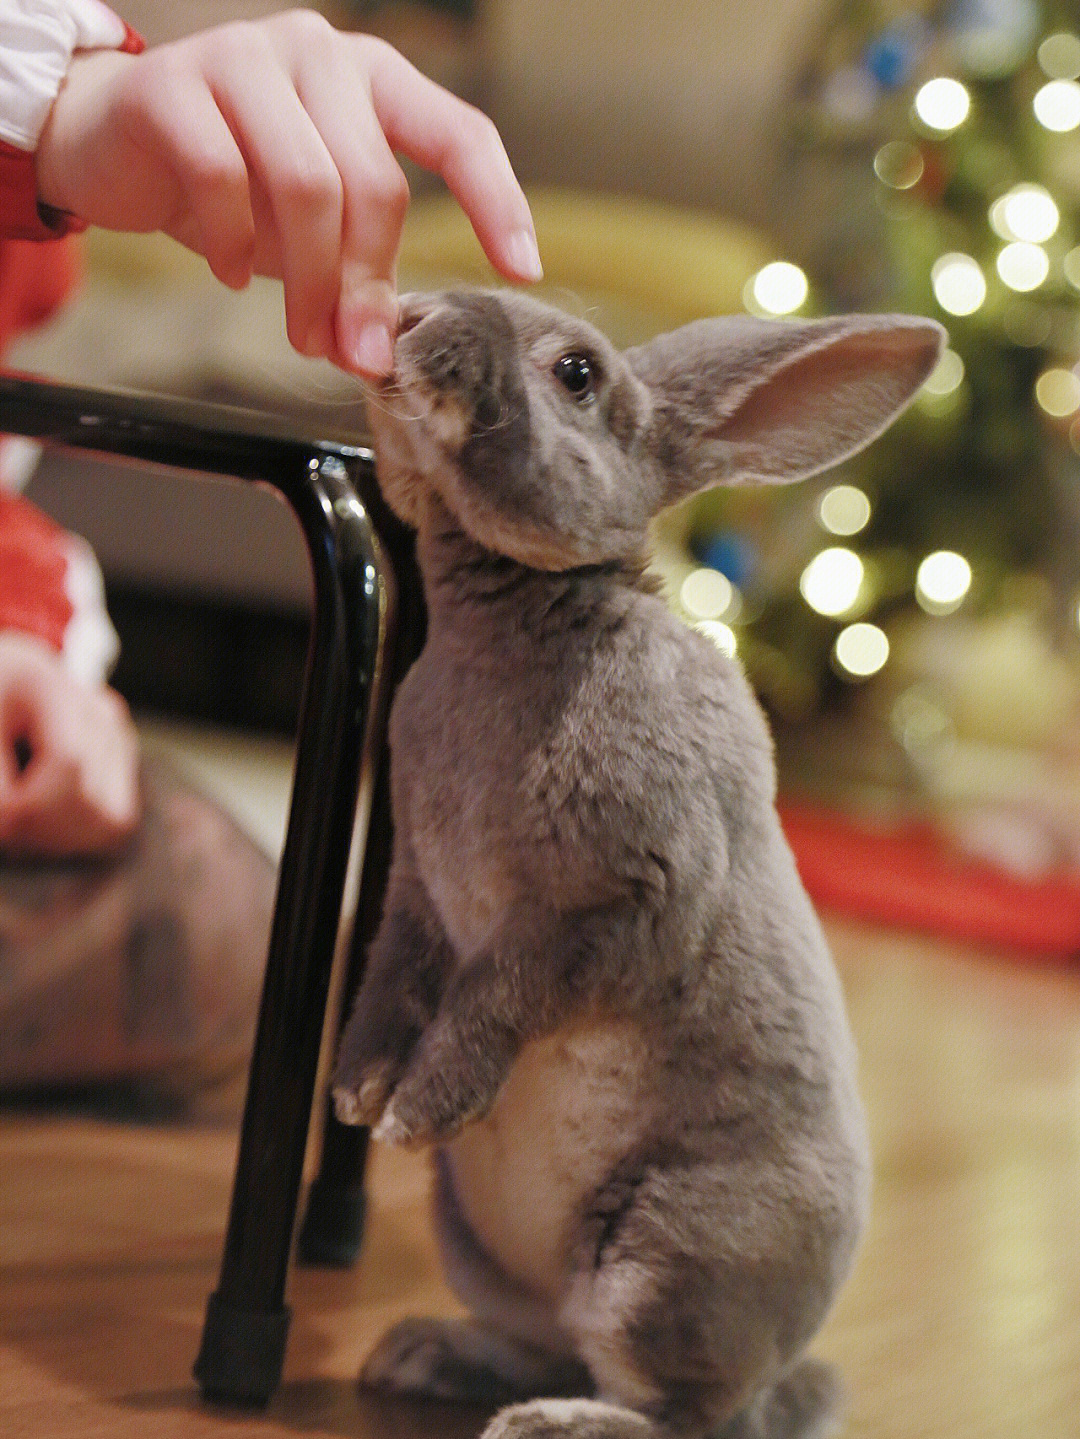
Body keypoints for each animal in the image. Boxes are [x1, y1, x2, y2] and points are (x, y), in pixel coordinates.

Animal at [332, 289, 943, 1439]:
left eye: (576, 373)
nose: (411, 311)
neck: (522, 607)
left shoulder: (624, 899)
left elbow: (499, 991)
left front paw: (416, 1110)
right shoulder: (418, 891)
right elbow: (395, 975)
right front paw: (355, 1090)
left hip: (663, 1258)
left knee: (685, 1415)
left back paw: (546, 1423)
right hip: (485, 1245)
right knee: (544, 1342)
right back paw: (420, 1355)